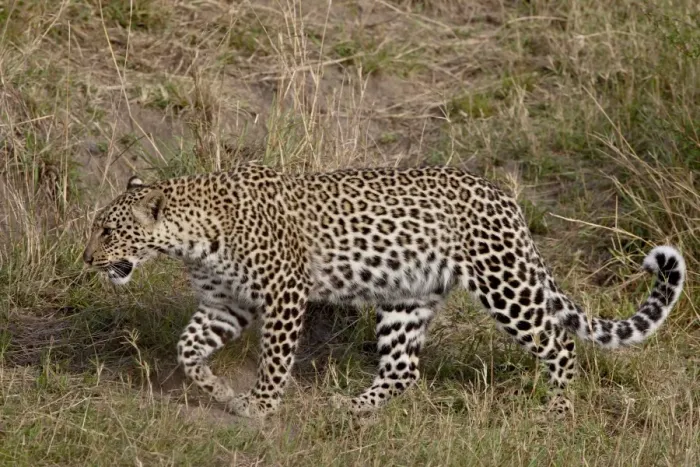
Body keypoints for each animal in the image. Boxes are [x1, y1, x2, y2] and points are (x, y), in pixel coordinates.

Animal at [82, 164, 686, 418]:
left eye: (108, 231)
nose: (87, 258)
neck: (189, 238)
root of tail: (506, 198)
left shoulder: (283, 292)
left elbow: (275, 359)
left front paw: (259, 407)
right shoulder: (225, 302)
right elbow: (188, 349)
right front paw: (219, 392)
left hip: (504, 283)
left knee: (559, 343)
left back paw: (557, 411)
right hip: (407, 298)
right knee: (403, 369)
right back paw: (352, 408)